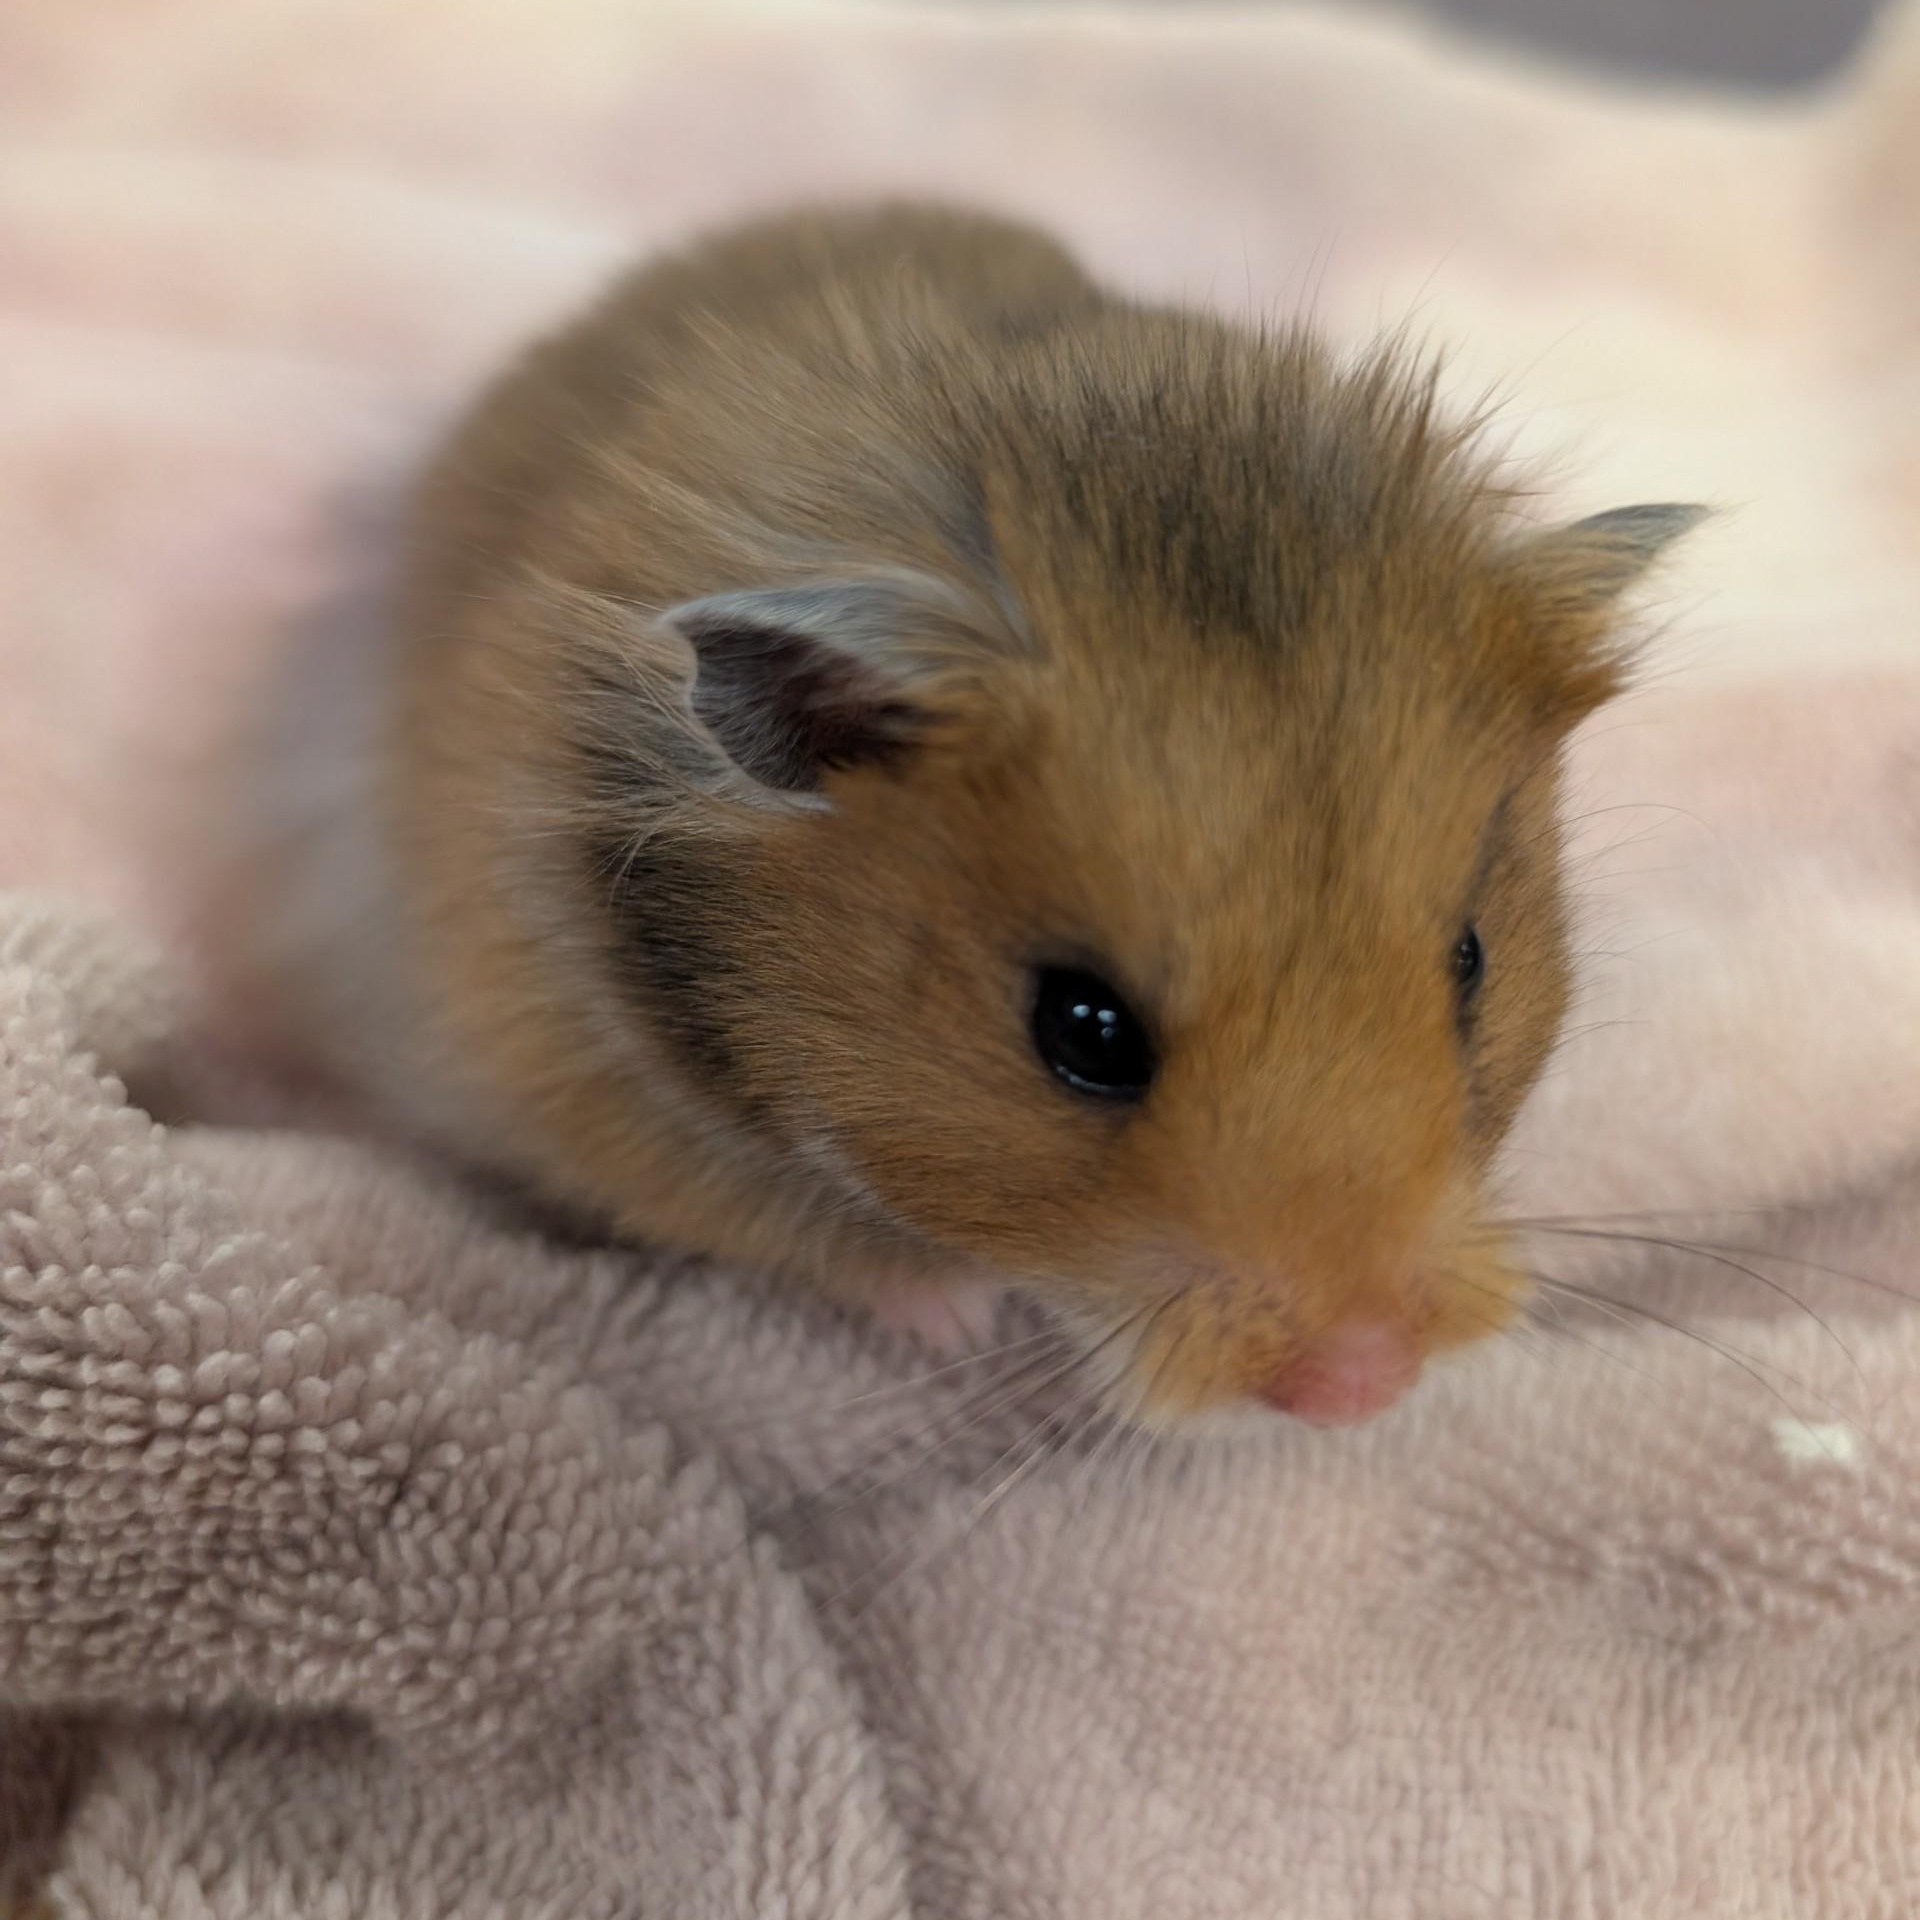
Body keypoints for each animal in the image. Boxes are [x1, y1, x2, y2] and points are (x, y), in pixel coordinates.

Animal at [257, 204, 1700, 1430]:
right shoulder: (589, 1087)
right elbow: (816, 1240)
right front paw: (956, 1316)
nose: (1364, 1387)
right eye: (1083, 1030)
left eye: (1471, 962)